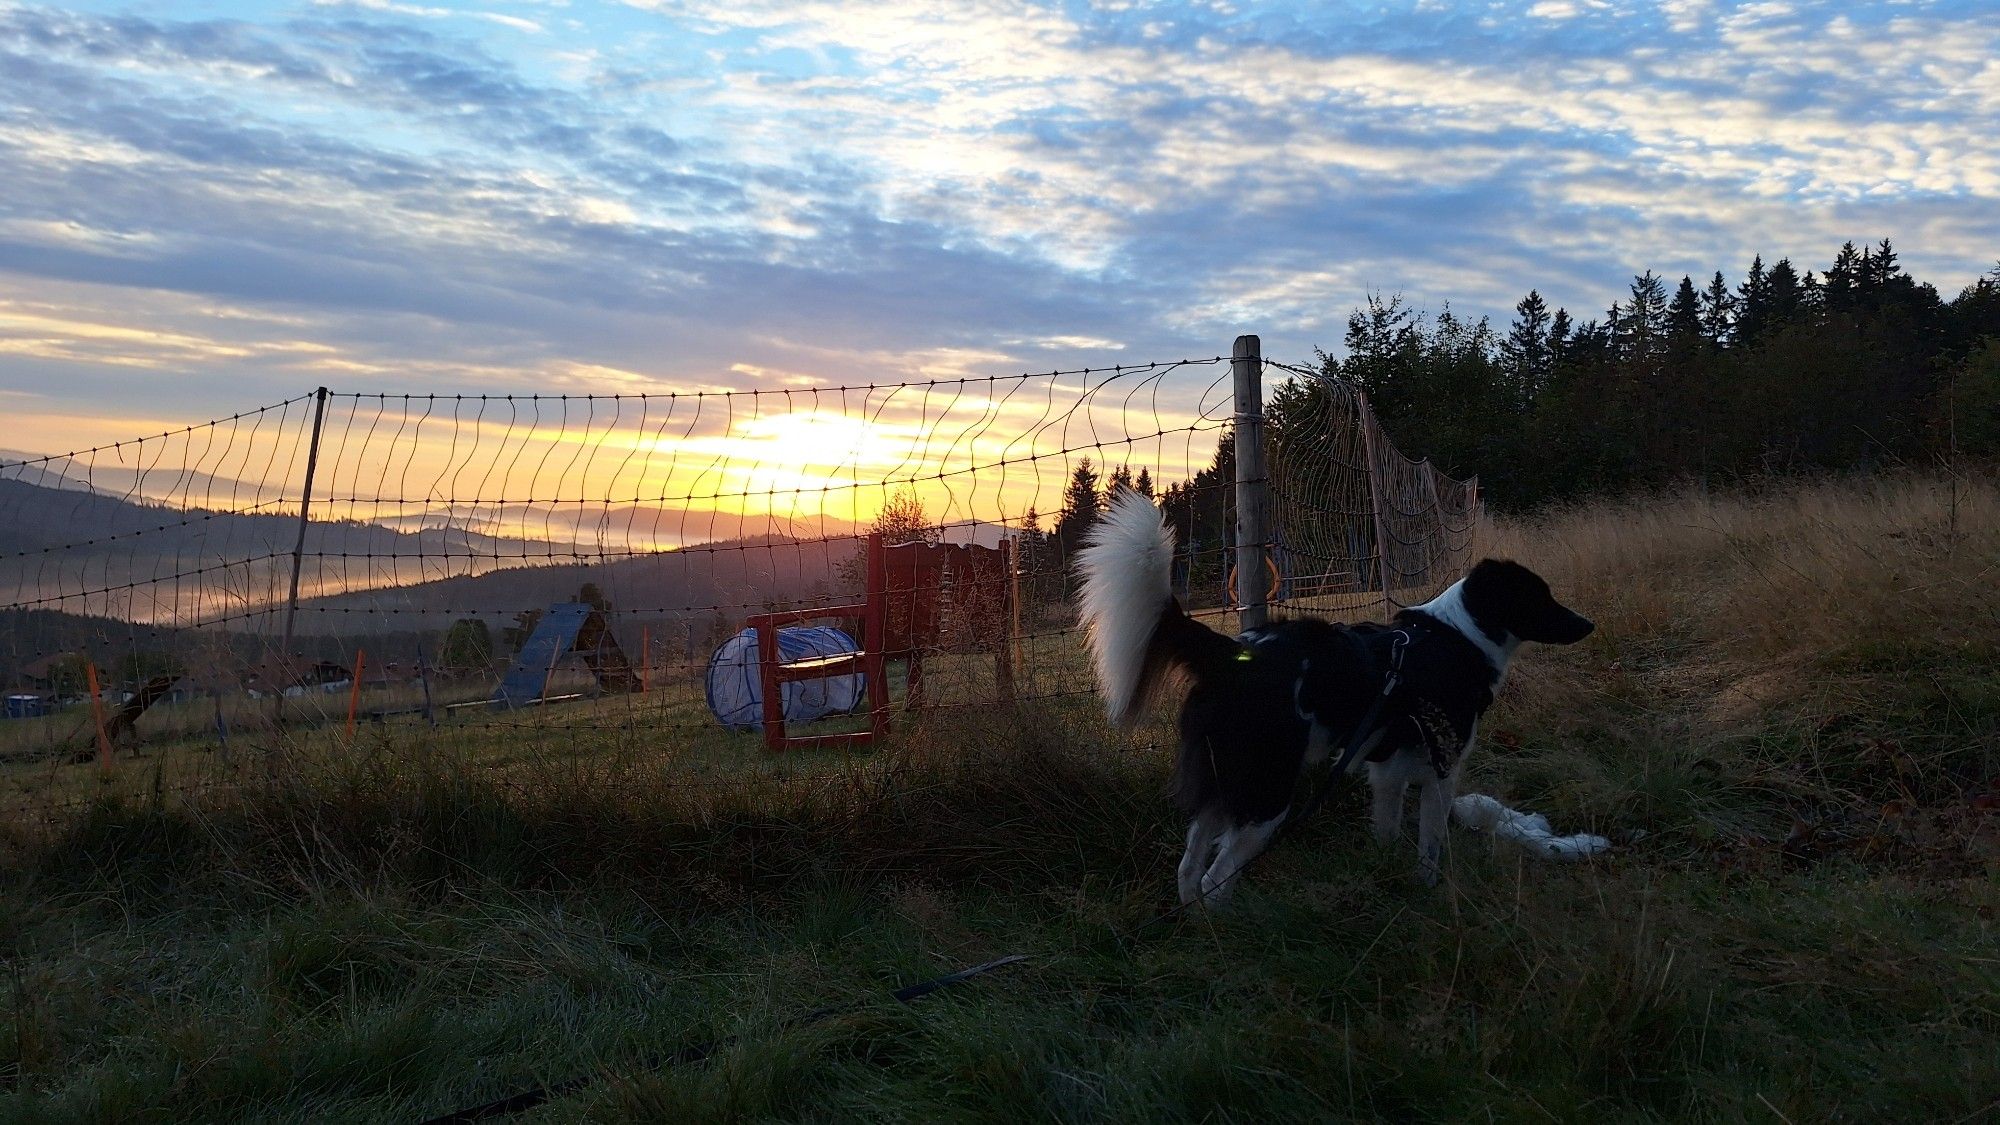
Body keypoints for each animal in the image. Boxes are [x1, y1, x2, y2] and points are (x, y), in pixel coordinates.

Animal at [1080, 490, 1592, 900]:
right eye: (1541, 597)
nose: (1587, 624)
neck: (1455, 637)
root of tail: (1231, 652)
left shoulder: (1388, 771)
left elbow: (1387, 832)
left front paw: (1387, 879)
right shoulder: (1441, 771)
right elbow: (1431, 845)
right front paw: (1429, 890)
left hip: (1227, 782)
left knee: (1189, 870)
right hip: (1267, 792)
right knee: (1214, 877)